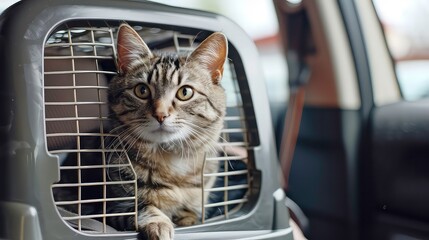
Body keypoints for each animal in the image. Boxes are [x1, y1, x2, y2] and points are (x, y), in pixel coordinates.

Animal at [105, 23, 227, 238]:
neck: (172, 160)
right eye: (142, 90)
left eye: (185, 92)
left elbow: (190, 214)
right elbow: (143, 206)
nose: (160, 114)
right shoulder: (112, 207)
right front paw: (159, 223)